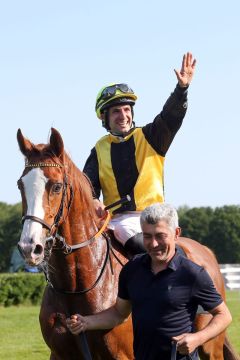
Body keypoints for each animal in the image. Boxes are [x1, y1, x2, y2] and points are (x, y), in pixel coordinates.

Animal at [16, 128, 238, 358]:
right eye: (20, 184)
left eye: (57, 186)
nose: (29, 247)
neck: (75, 289)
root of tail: (206, 251)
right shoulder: (60, 354)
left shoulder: (122, 354)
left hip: (209, 345)